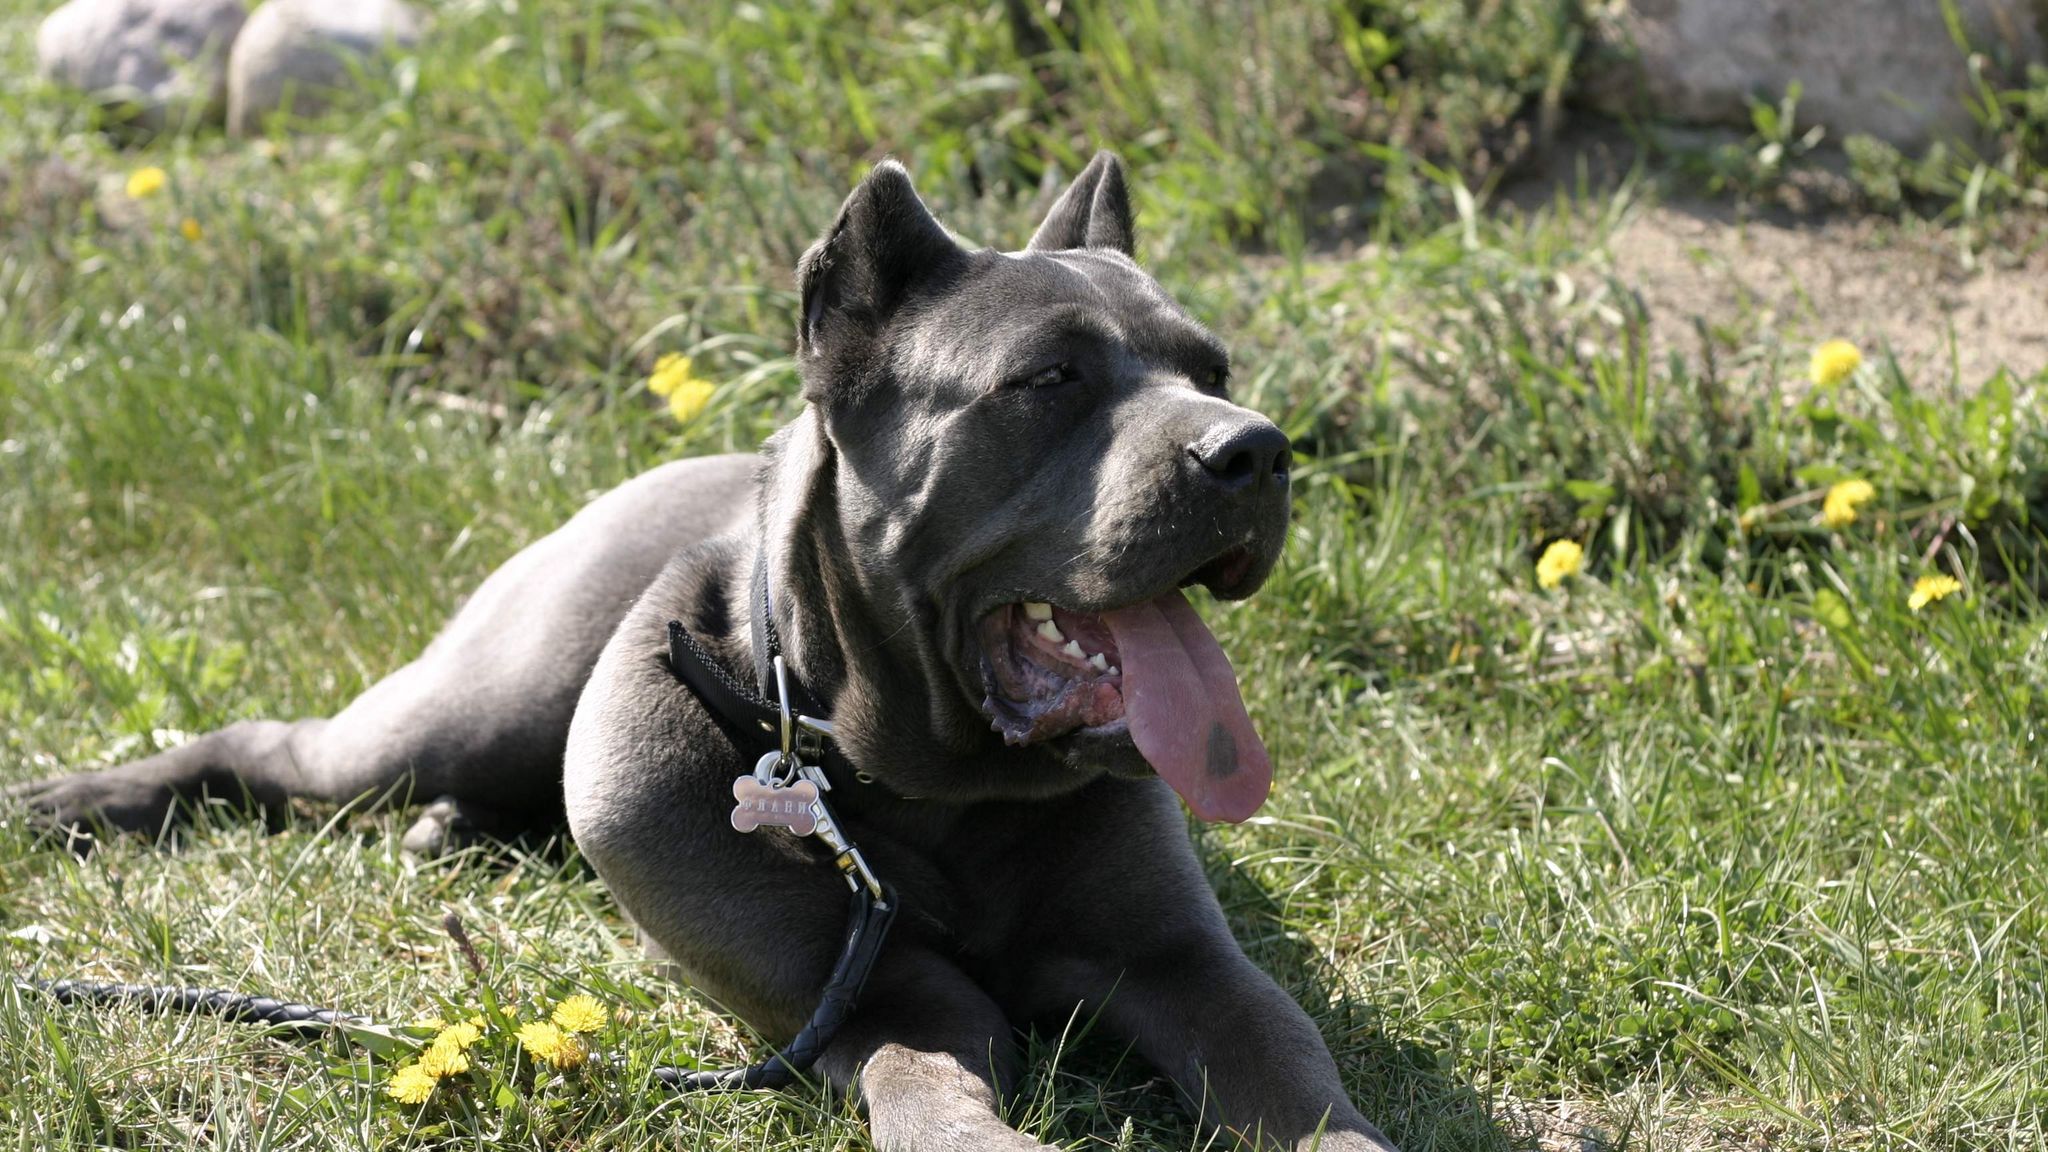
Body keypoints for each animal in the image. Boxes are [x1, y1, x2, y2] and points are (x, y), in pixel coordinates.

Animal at [16, 152, 1400, 1147]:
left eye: (1211, 366)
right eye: (1046, 379)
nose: (1254, 448)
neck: (925, 786)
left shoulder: (1182, 963)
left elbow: (1286, 1064)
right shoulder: (876, 995)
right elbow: (930, 1086)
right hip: (464, 707)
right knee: (279, 746)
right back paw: (72, 801)